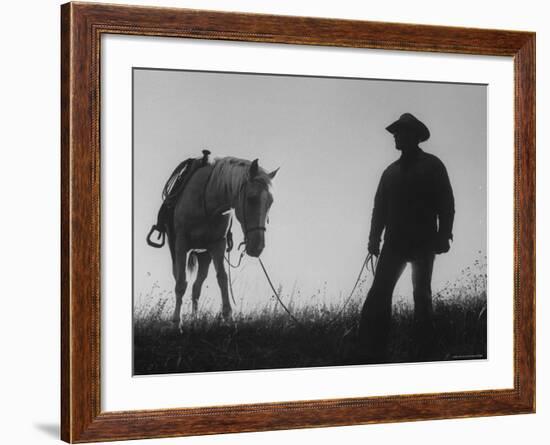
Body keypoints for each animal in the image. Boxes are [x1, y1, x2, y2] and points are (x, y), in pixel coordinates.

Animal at [160, 155, 280, 322]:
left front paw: (228, 316)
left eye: (271, 202)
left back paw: (195, 319)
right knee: (181, 279)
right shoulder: (181, 245)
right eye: (251, 198)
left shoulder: (218, 245)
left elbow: (222, 278)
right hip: (177, 251)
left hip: (204, 255)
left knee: (197, 287)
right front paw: (177, 321)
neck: (206, 199)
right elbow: (181, 283)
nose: (257, 247)